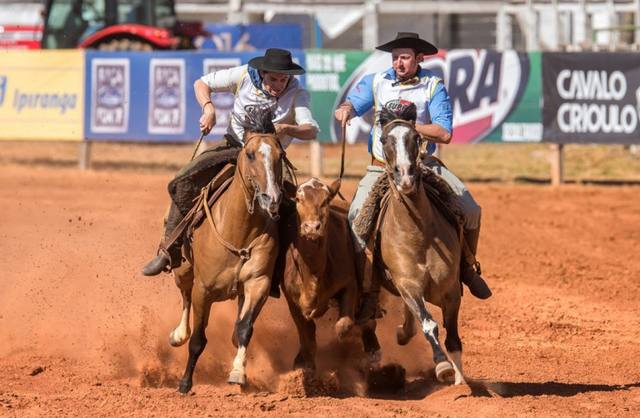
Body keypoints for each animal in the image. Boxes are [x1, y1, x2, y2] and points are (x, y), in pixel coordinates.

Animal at [169, 107, 284, 392]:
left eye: (281, 155)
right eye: (251, 154)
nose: (271, 199)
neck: (238, 231)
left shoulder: (258, 282)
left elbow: (244, 328)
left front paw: (238, 373)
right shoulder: (203, 289)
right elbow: (198, 339)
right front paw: (185, 383)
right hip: (183, 269)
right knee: (184, 297)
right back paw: (178, 334)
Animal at [280, 178, 380, 370]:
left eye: (325, 201)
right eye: (298, 199)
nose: (312, 227)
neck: (313, 274)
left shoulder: (350, 285)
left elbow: (344, 325)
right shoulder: (291, 299)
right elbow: (306, 334)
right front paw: (305, 365)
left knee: (367, 321)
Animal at [376, 104, 464, 386]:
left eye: (416, 138)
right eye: (384, 139)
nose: (405, 176)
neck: (419, 235)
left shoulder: (451, 289)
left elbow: (453, 338)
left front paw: (460, 380)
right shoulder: (407, 284)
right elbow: (428, 324)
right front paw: (442, 366)